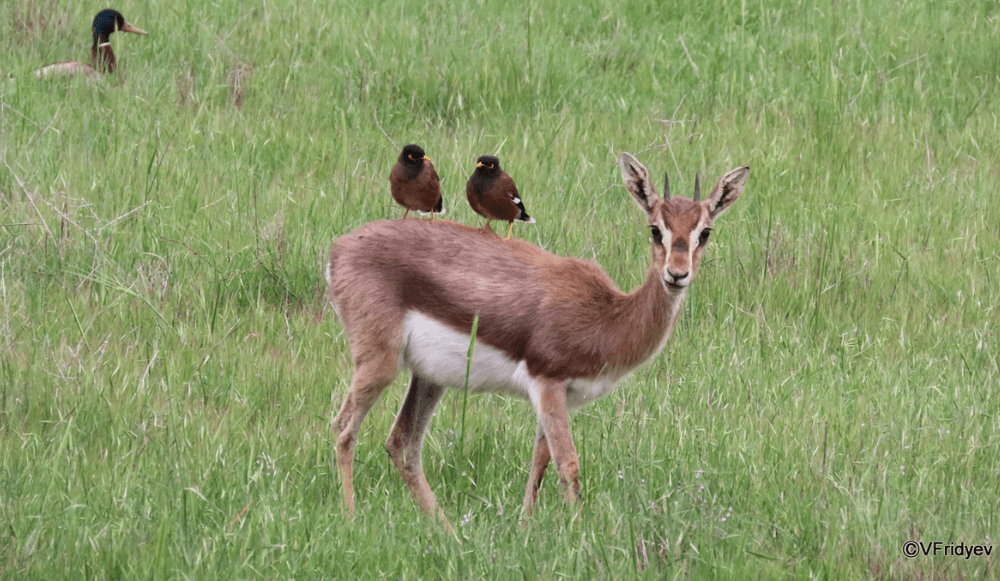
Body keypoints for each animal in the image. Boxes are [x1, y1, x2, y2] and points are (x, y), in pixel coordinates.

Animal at [325, 153, 749, 520]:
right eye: (655, 229)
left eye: (704, 232)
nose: (676, 274)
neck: (607, 314)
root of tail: (338, 248)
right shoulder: (546, 382)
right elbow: (568, 464)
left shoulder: (564, 397)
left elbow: (540, 462)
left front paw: (524, 527)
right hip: (379, 360)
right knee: (344, 427)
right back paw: (349, 517)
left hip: (429, 377)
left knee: (402, 443)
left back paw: (445, 530)